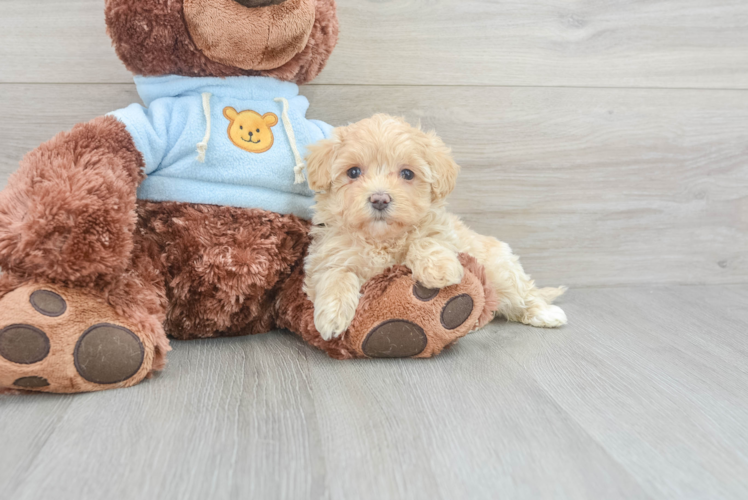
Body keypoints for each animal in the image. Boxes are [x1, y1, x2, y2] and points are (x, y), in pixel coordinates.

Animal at [300, 114, 564, 340]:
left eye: (407, 174)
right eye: (353, 172)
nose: (379, 199)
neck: (381, 239)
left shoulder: (444, 231)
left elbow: (426, 239)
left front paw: (440, 270)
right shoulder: (326, 256)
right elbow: (336, 274)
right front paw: (332, 317)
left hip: (501, 272)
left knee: (524, 295)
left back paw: (546, 313)